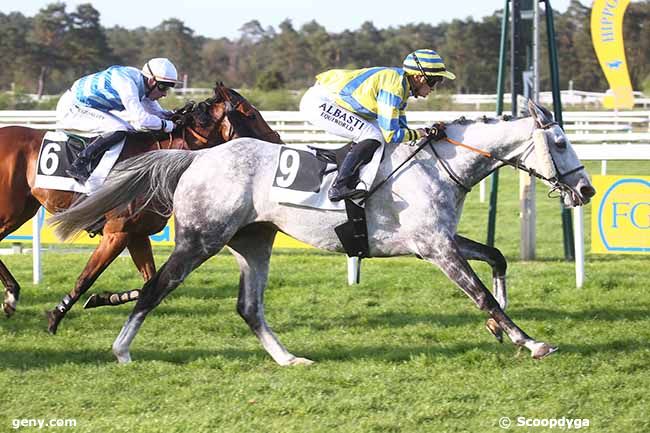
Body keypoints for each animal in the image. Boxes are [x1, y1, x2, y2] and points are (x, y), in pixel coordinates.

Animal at [0, 82, 280, 332]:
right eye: (251, 113)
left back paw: (12, 296)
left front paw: (104, 298)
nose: (276, 140)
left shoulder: (136, 233)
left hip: (21, 211)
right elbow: (86, 278)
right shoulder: (117, 232)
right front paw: (55, 316)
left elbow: (149, 282)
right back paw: (12, 296)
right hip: (10, 211)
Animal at [50, 99, 592, 362]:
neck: (439, 167)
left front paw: (501, 329)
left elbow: (496, 258)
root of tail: (197, 157)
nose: (585, 190)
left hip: (254, 241)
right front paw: (528, 341)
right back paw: (121, 350)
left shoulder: (437, 241)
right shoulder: (435, 247)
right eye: (560, 143)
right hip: (201, 239)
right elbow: (480, 292)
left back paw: (290, 360)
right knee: (155, 288)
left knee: (248, 307)